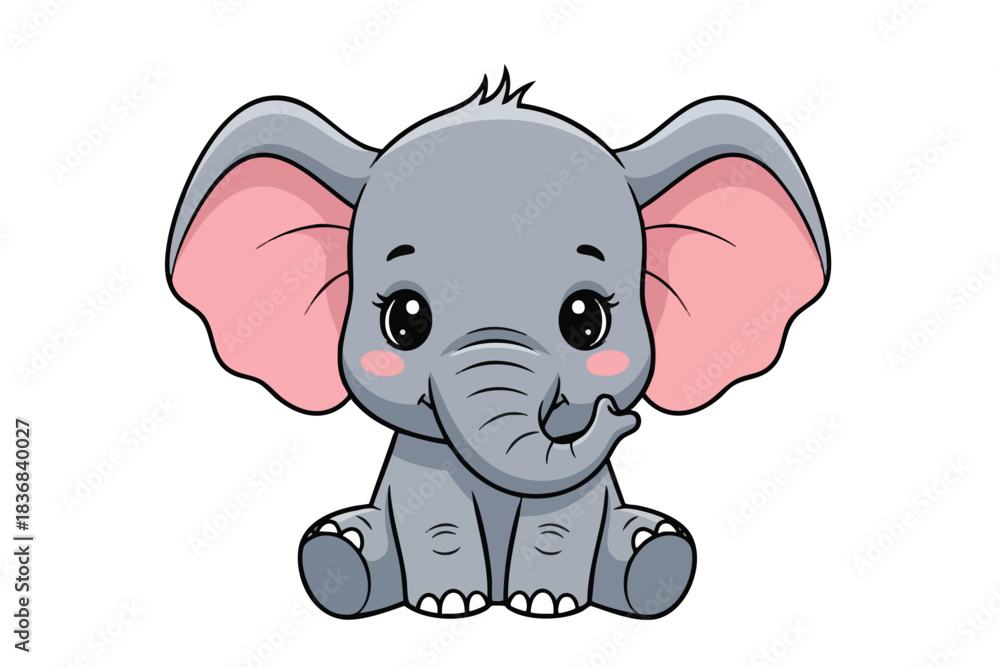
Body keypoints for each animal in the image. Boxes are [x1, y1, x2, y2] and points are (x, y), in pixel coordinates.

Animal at [165, 70, 829, 619]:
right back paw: (340, 555)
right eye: (405, 320)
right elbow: (437, 520)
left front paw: (546, 605)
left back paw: (654, 555)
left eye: (585, 320)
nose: (617, 415)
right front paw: (450, 604)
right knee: (349, 544)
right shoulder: (420, 465)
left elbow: (561, 520)